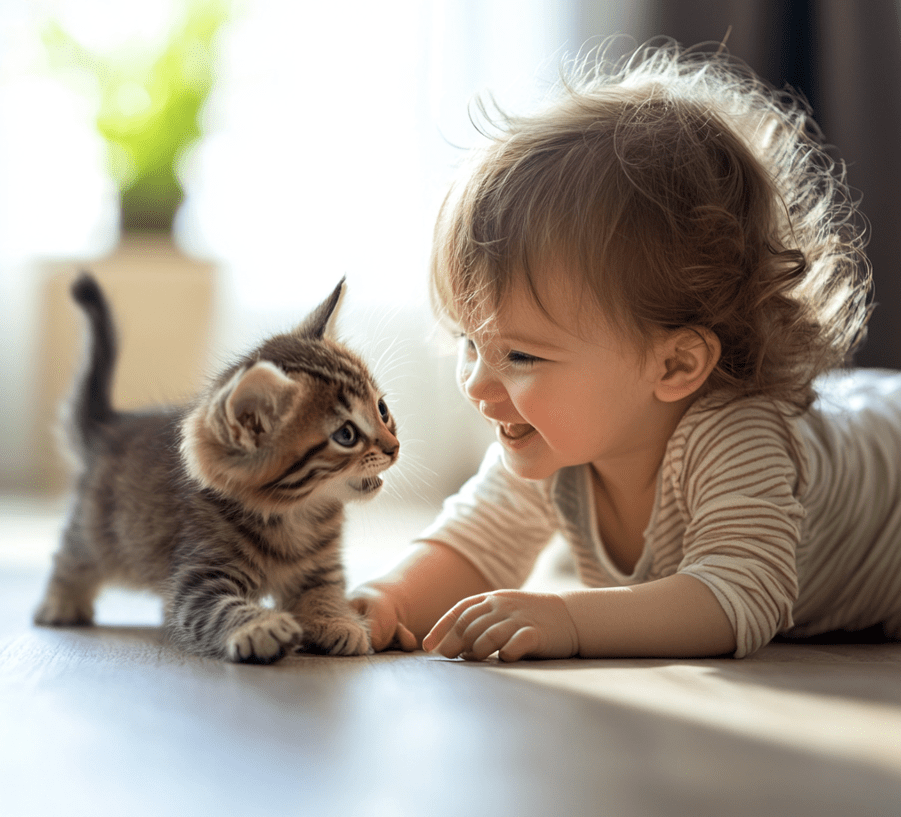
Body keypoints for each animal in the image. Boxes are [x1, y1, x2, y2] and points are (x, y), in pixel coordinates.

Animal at [36, 274, 398, 664]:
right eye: (346, 435)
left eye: (382, 409)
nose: (394, 448)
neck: (295, 515)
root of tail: (111, 425)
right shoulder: (199, 576)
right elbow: (216, 609)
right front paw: (260, 626)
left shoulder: (321, 569)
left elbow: (325, 593)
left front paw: (336, 621)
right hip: (95, 531)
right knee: (71, 556)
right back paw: (60, 603)